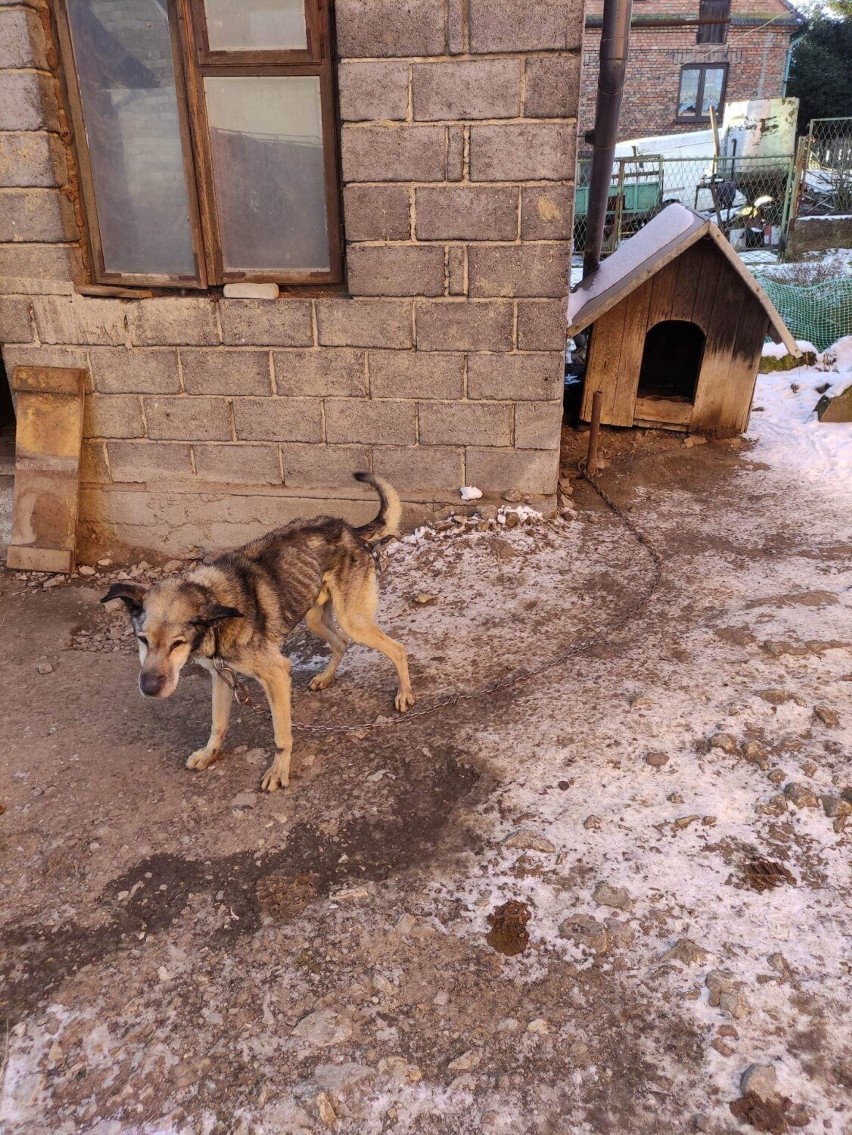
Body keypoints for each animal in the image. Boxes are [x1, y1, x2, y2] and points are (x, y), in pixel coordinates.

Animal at [101, 474, 415, 794]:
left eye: (178, 643)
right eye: (142, 640)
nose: (149, 689)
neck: (216, 611)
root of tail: (349, 529)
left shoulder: (277, 674)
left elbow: (281, 735)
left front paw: (279, 770)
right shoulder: (220, 675)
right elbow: (218, 723)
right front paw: (209, 754)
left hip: (353, 620)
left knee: (396, 648)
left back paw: (404, 694)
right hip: (314, 617)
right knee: (341, 641)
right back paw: (326, 678)